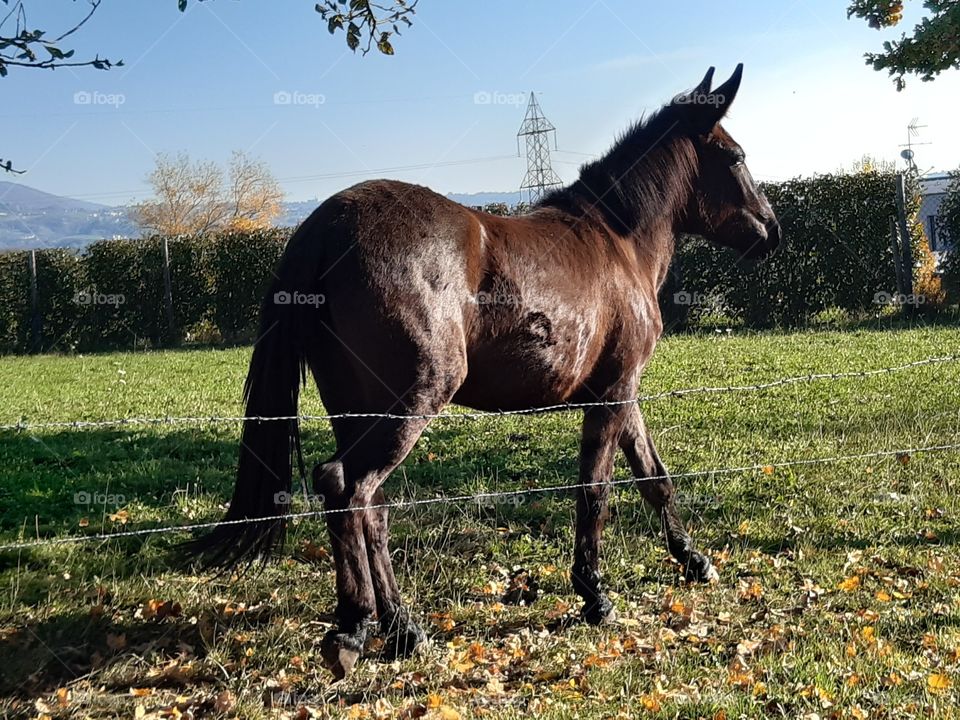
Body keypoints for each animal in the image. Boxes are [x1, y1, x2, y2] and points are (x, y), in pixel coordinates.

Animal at [187, 64, 781, 678]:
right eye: (735, 156)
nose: (772, 231)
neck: (617, 242)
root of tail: (325, 226)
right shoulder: (613, 393)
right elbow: (595, 490)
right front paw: (595, 594)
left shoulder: (621, 391)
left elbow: (654, 479)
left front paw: (694, 560)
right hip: (412, 402)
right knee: (343, 486)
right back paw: (356, 626)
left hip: (356, 411)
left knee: (370, 506)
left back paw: (403, 628)